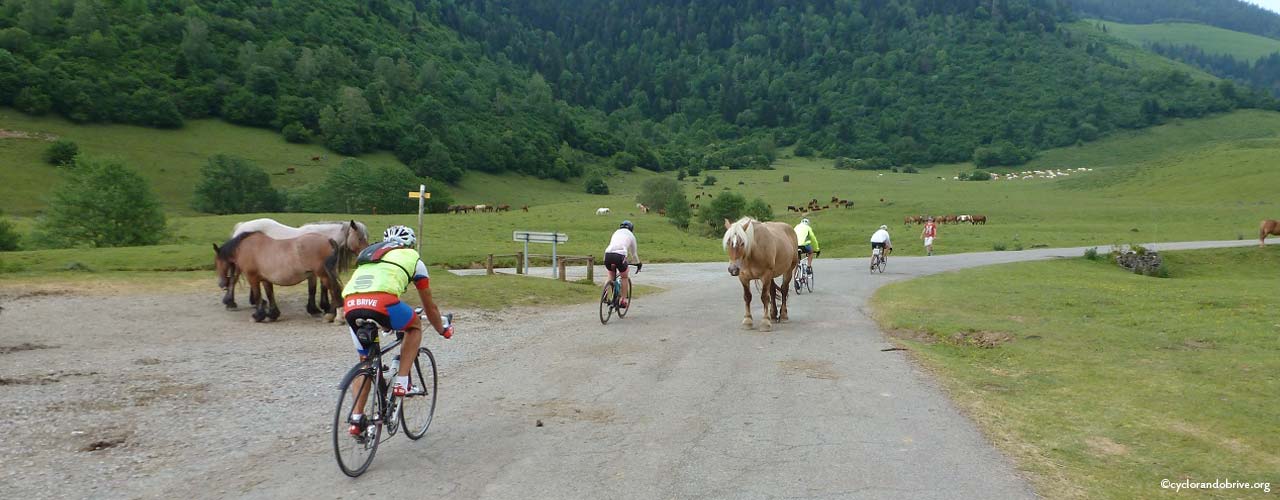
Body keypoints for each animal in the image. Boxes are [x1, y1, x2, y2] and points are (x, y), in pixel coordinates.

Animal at [215, 232, 345, 323]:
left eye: (218, 262)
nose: (221, 284)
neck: (247, 247)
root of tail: (328, 240)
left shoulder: (253, 278)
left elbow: (257, 296)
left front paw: (257, 316)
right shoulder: (265, 279)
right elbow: (270, 294)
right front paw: (273, 314)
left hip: (323, 275)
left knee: (334, 291)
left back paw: (333, 316)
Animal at [224, 219, 366, 313]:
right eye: (360, 238)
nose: (364, 255)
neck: (322, 238)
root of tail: (241, 227)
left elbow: (323, 287)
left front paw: (324, 306)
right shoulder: (314, 272)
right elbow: (314, 289)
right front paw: (317, 308)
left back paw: (255, 301)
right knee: (233, 279)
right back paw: (230, 302)